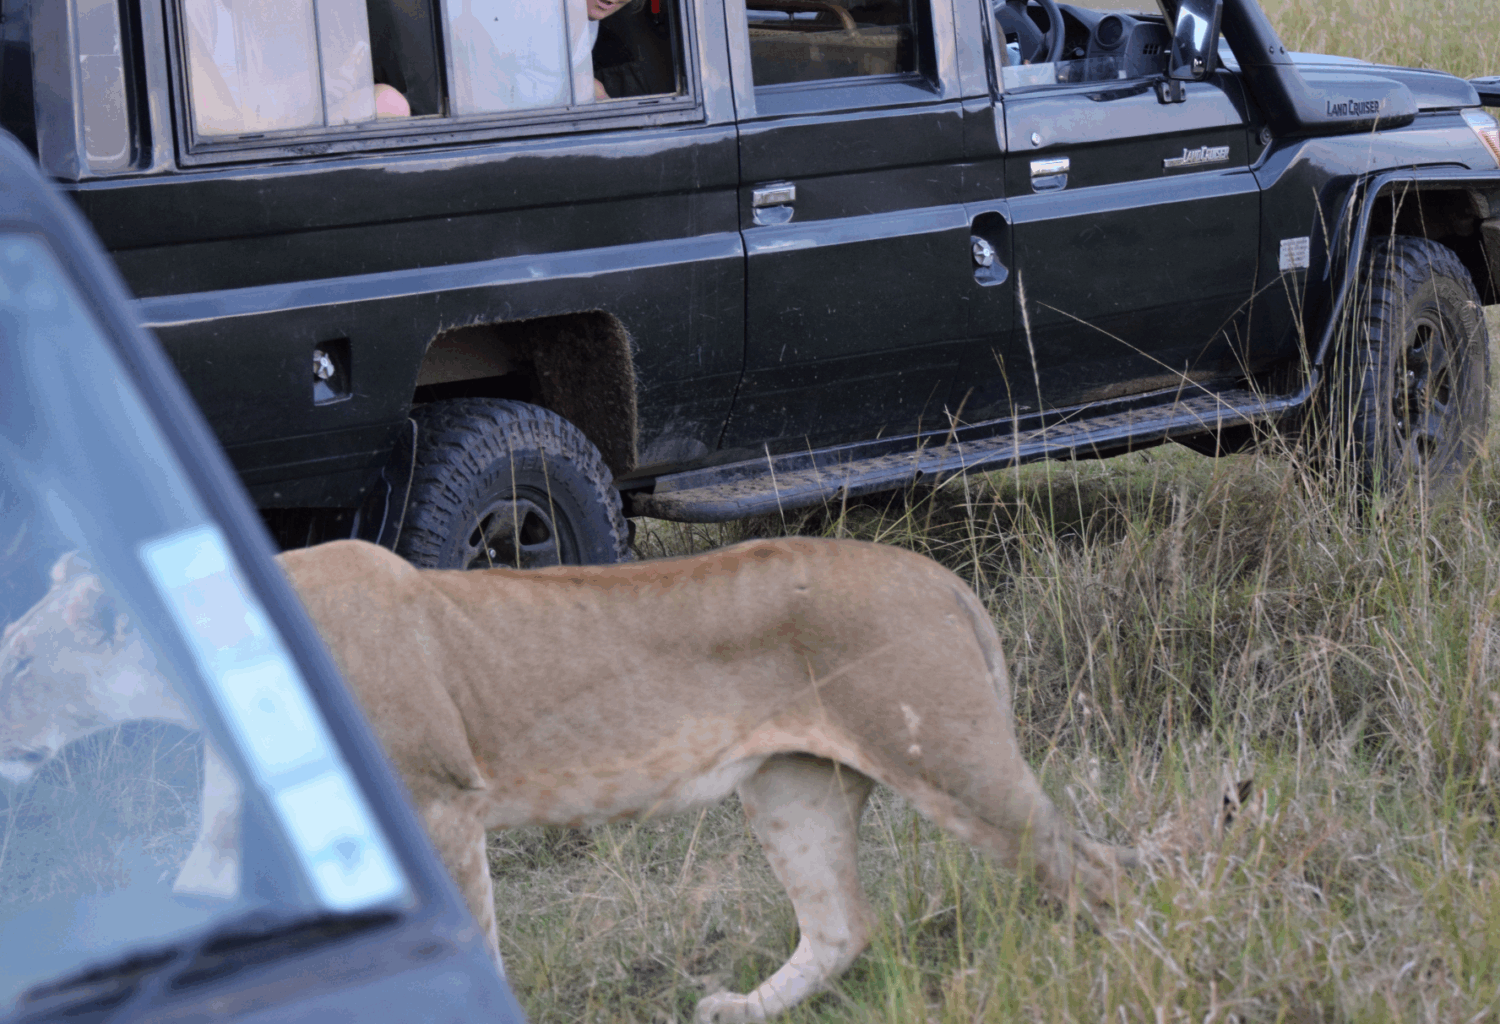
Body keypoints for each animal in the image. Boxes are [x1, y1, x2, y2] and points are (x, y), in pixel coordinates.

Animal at [3, 538, 1138, 1022]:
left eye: (16, 662)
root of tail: (938, 574)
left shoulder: (435, 799)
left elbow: (473, 935)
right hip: (790, 787)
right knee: (840, 926)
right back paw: (739, 1010)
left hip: (945, 752)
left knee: (1094, 868)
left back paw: (1131, 960)